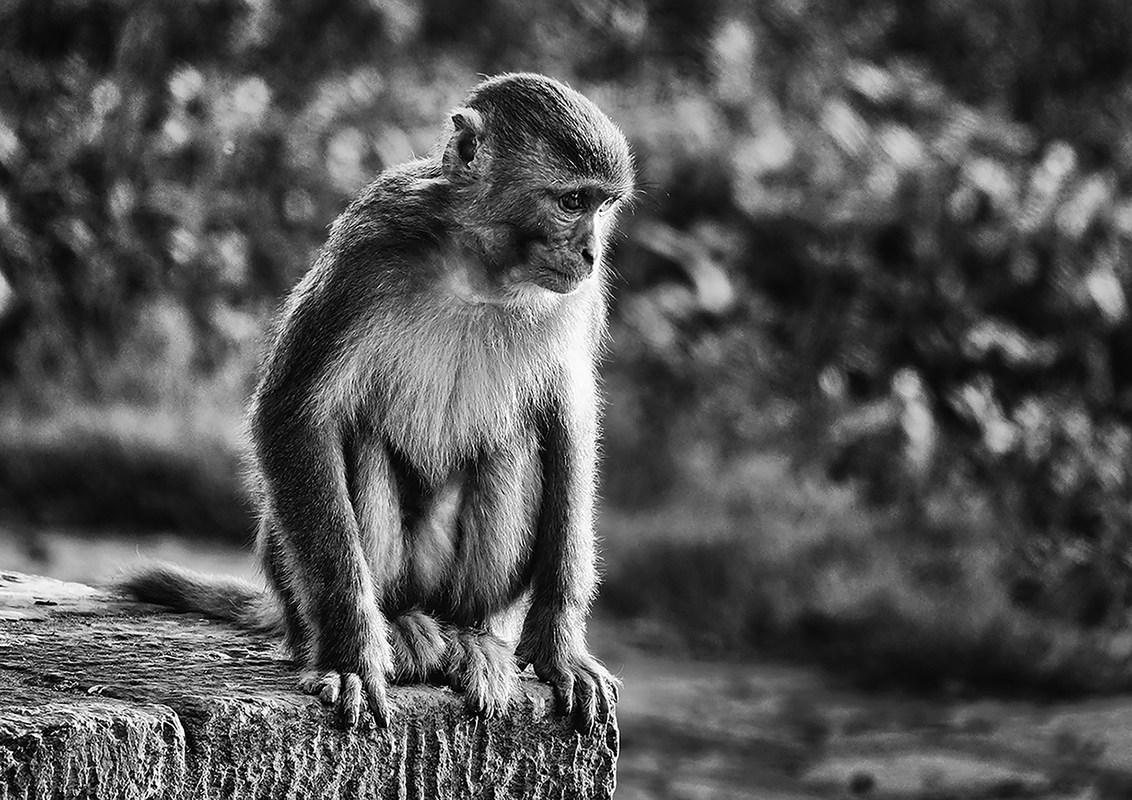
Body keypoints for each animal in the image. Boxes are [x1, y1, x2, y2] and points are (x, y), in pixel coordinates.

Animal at [120, 73, 634, 735]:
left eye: (603, 206)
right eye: (571, 202)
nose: (592, 253)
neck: (480, 268)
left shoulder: (576, 300)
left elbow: (568, 421)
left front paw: (559, 649)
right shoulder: (368, 247)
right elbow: (296, 412)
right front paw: (352, 653)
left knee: (513, 443)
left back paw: (469, 634)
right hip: (308, 587)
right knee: (358, 436)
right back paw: (399, 627)